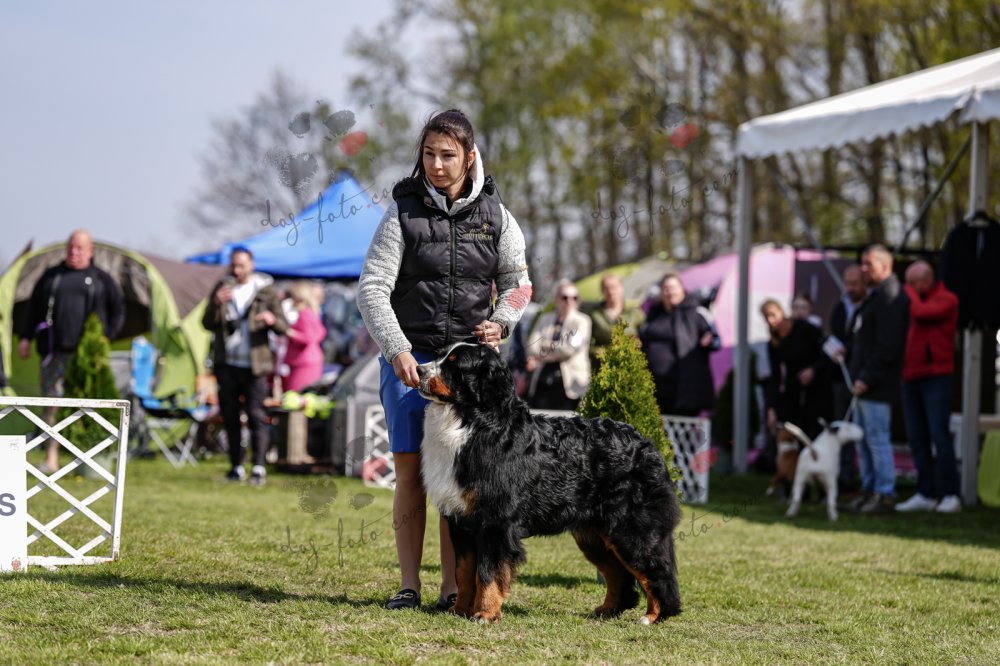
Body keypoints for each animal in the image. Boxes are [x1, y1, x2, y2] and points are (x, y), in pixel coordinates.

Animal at [416, 342, 682, 624]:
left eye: (455, 363)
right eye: (442, 355)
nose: (418, 370)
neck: (472, 422)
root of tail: (648, 445)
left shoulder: (495, 522)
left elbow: (488, 573)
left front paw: (485, 614)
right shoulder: (461, 521)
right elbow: (464, 571)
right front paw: (459, 610)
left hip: (631, 530)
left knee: (657, 572)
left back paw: (654, 616)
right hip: (594, 536)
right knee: (618, 575)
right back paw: (606, 610)